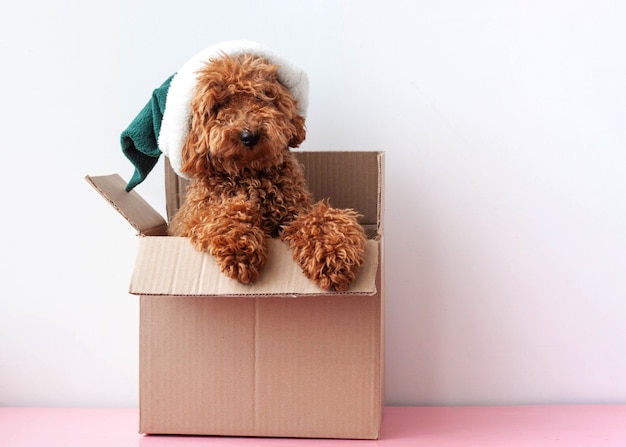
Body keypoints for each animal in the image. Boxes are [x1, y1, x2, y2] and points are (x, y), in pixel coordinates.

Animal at [168, 52, 366, 292]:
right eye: (219, 105)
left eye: (262, 95)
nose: (249, 135)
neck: (251, 174)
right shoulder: (191, 221)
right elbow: (222, 213)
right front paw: (240, 248)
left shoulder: (295, 212)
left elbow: (320, 218)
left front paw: (333, 255)